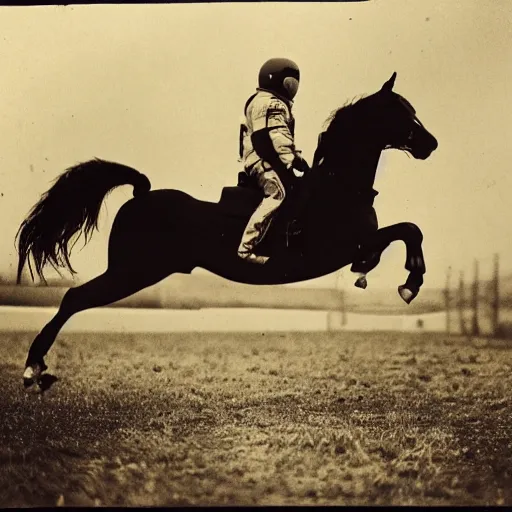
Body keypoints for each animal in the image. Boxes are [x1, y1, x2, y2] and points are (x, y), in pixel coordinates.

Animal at [18, 70, 438, 386]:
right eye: (398, 112)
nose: (430, 144)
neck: (338, 186)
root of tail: (143, 194)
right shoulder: (345, 247)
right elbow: (408, 229)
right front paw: (411, 281)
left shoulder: (359, 246)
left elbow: (403, 233)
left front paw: (386, 276)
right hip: (131, 272)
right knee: (74, 298)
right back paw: (33, 367)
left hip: (133, 272)